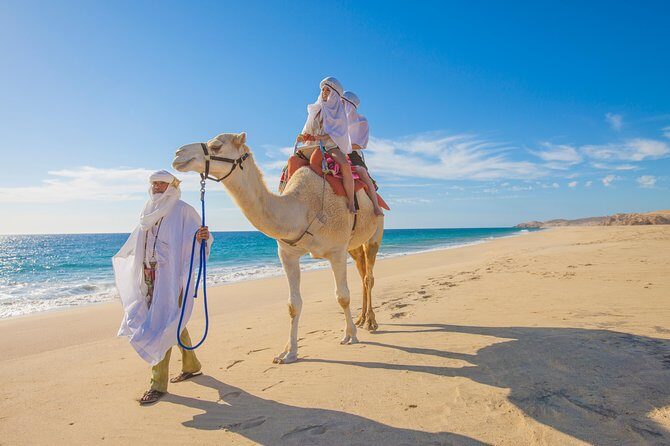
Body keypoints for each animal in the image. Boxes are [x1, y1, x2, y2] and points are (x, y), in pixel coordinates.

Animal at [172, 132, 384, 364]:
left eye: (216, 146)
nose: (178, 154)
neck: (303, 209)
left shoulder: (336, 250)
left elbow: (342, 296)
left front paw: (349, 335)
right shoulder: (287, 253)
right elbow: (293, 305)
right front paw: (288, 352)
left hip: (374, 234)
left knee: (368, 276)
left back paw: (370, 322)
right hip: (352, 246)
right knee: (362, 271)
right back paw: (362, 319)